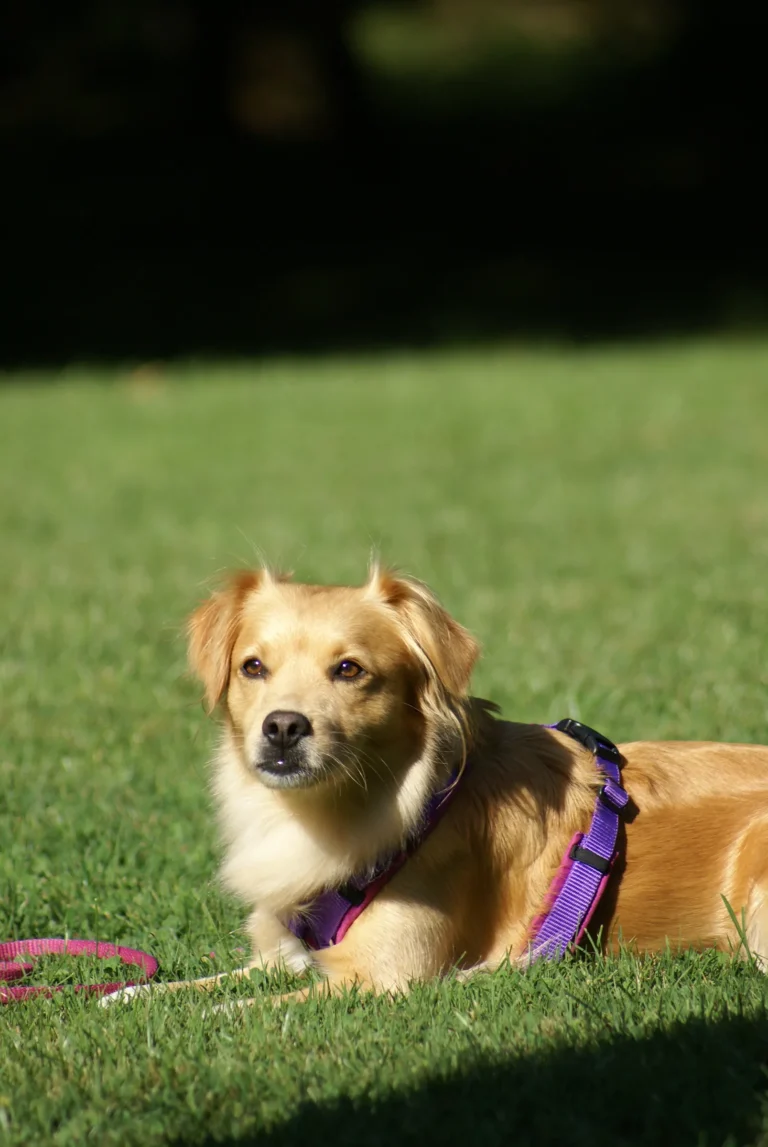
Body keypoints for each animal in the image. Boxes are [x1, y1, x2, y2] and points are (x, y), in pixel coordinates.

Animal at [103, 564, 768, 1004]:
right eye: (253, 667)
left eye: (350, 670)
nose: (284, 727)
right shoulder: (280, 956)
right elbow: (187, 990)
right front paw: (126, 998)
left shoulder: (380, 979)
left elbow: (243, 1010)